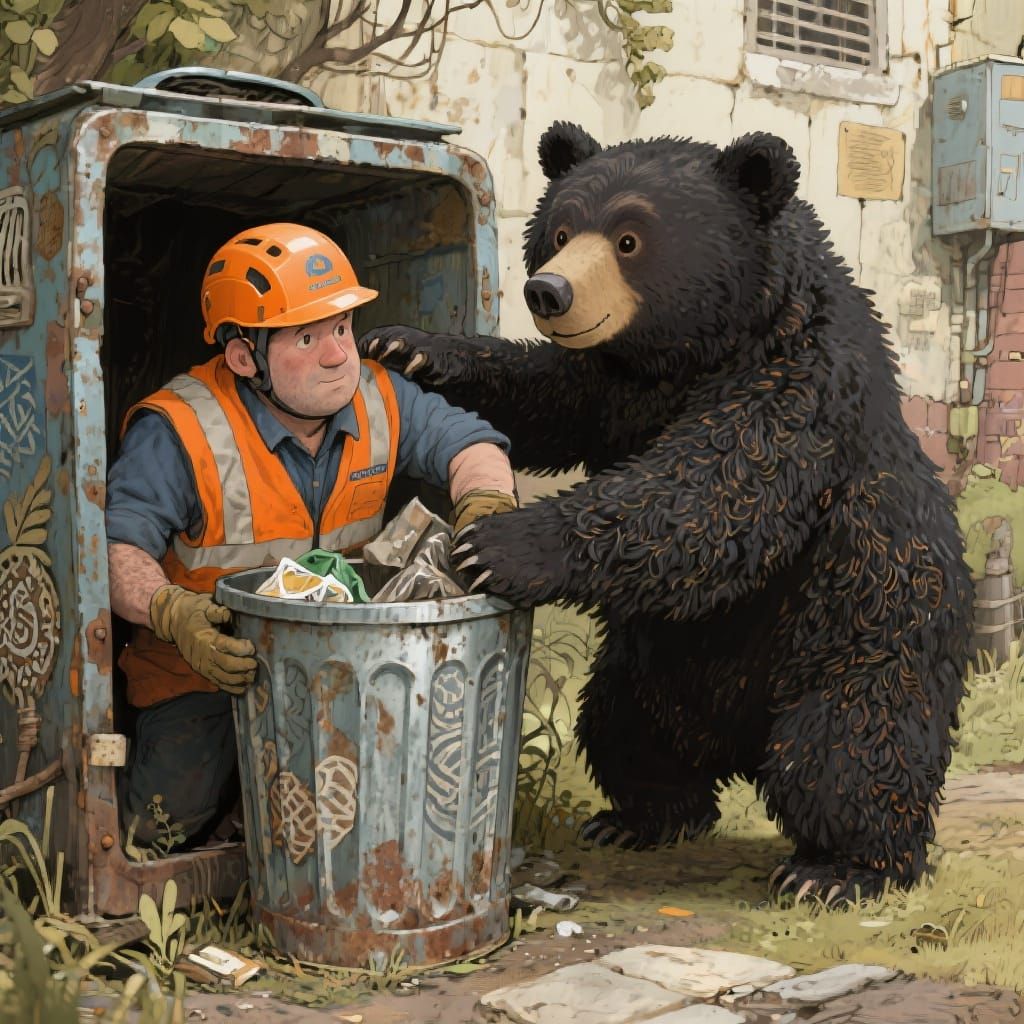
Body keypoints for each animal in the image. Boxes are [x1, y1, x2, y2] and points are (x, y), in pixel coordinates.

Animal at [359, 122, 974, 904]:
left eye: (630, 238)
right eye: (561, 230)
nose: (547, 290)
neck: (694, 351)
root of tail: (740, 745)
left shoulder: (800, 378)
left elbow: (715, 492)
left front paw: (500, 544)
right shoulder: (611, 386)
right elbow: (541, 393)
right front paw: (408, 346)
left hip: (867, 630)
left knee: (846, 750)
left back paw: (839, 869)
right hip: (652, 666)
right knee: (625, 728)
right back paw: (643, 816)